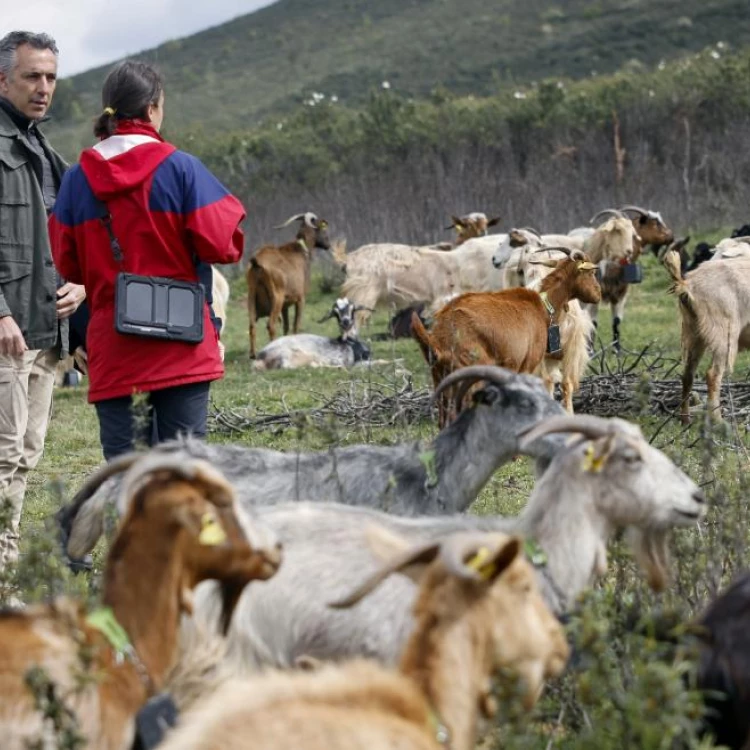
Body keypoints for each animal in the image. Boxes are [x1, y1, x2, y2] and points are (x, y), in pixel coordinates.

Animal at [248, 212, 330, 358]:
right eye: (323, 228)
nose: (328, 245)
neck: (300, 249)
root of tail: (257, 262)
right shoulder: (300, 299)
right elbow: (295, 325)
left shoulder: (285, 305)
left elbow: (286, 326)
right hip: (276, 298)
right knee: (271, 325)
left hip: (251, 296)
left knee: (252, 325)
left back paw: (253, 354)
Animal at [414, 247, 604, 424]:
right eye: (591, 272)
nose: (598, 294)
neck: (542, 304)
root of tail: (439, 339)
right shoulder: (527, 365)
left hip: (441, 379)